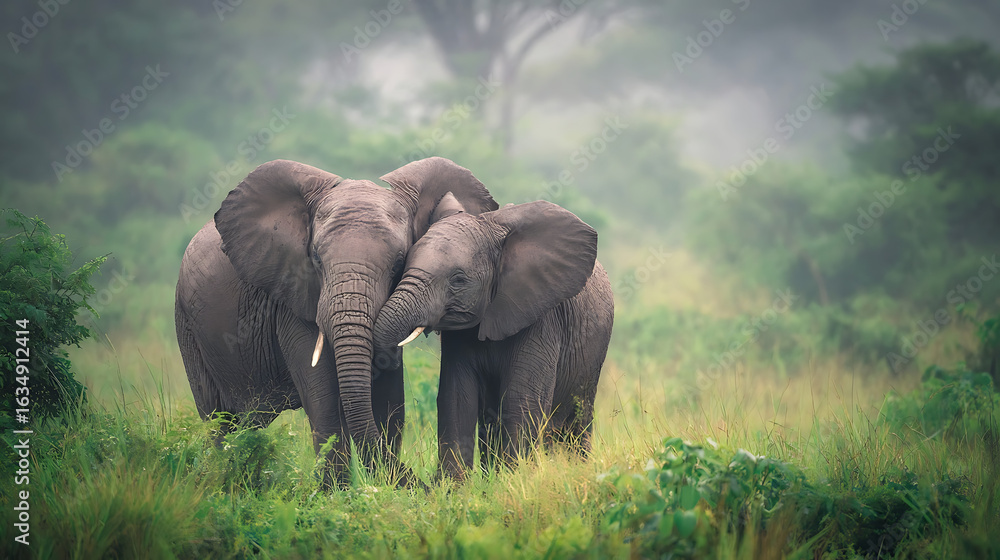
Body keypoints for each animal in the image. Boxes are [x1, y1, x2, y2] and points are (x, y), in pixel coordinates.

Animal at [174, 157, 497, 486]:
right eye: (316, 258)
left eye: (399, 261)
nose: (424, 484)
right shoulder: (293, 293)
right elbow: (322, 392)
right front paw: (334, 490)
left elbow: (389, 395)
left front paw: (382, 485)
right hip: (186, 322)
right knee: (217, 418)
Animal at [373, 195, 614, 480]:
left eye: (458, 280)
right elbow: (456, 397)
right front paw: (453, 486)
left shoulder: (541, 318)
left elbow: (522, 401)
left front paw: (516, 479)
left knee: (577, 417)